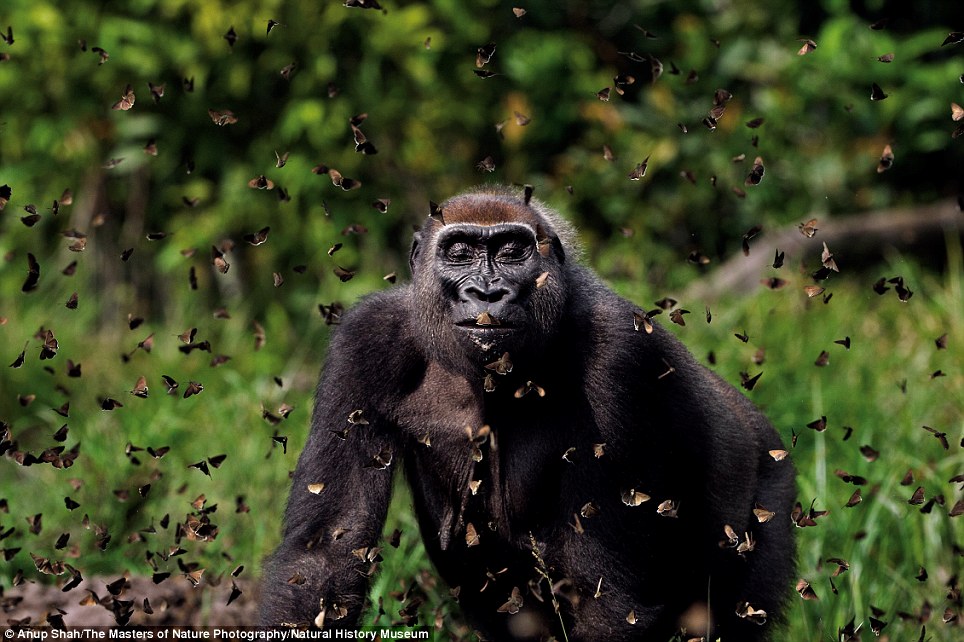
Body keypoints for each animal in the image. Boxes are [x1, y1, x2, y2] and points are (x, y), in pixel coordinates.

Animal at [260, 185, 796, 640]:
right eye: (459, 252)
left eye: (512, 251)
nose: (487, 293)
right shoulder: (365, 340)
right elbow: (326, 554)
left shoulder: (621, 352)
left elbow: (609, 596)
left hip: (770, 491)